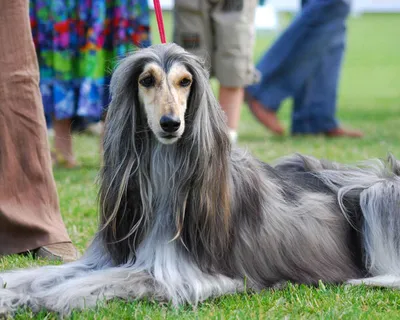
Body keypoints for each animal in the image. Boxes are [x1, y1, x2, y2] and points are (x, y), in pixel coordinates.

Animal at [0, 43, 400, 316]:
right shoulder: (107, 257)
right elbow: (42, 273)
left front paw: (50, 298)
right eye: (147, 80)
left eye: (185, 81)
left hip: (380, 196)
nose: (170, 124)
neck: (166, 176)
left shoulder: (184, 275)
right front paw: (14, 292)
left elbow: (98, 282)